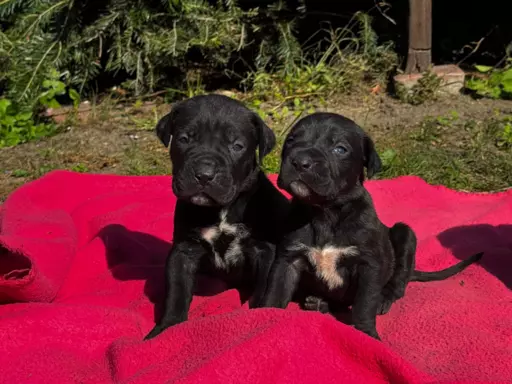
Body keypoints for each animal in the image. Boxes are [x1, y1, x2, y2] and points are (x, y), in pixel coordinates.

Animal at [144, 94, 290, 340]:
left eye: (237, 146)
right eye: (184, 139)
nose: (204, 175)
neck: (221, 209)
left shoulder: (265, 251)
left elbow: (263, 289)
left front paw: (258, 318)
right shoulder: (183, 251)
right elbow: (176, 292)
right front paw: (166, 330)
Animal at [260, 112, 484, 340]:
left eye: (340, 149)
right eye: (291, 140)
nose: (300, 161)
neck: (325, 212)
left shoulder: (369, 265)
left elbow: (364, 304)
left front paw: (366, 334)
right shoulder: (288, 259)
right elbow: (275, 293)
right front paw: (264, 317)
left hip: (405, 234)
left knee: (398, 281)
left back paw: (382, 299)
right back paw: (318, 303)